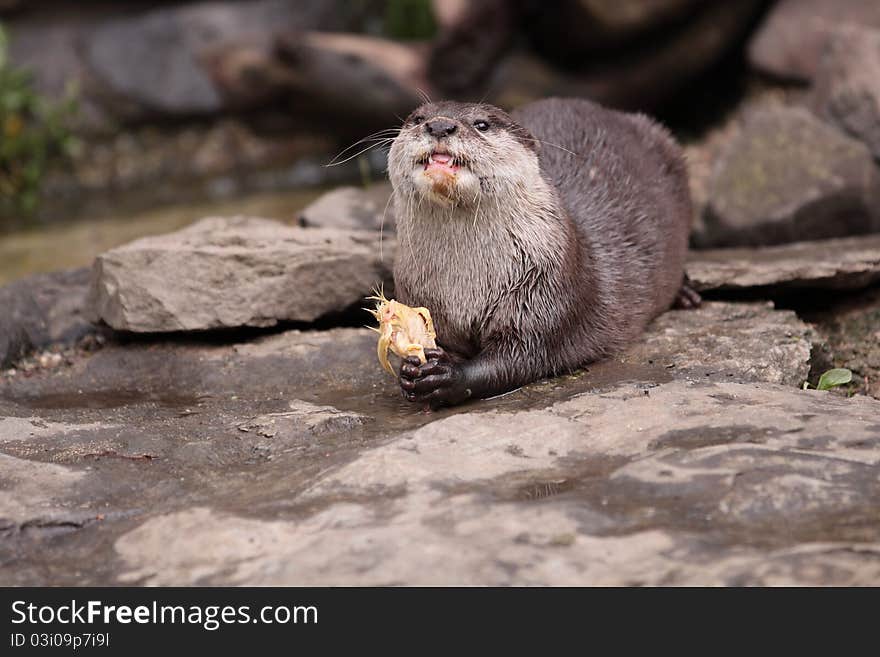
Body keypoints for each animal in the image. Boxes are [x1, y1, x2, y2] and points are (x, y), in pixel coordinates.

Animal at [388, 96, 696, 404]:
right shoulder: (417, 293)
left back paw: (686, 293)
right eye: (417, 118)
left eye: (482, 124)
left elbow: (524, 354)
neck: (464, 286)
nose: (440, 125)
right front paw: (410, 370)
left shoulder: (546, 293)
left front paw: (447, 375)